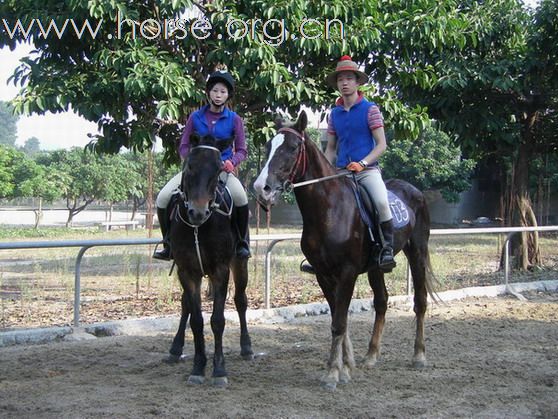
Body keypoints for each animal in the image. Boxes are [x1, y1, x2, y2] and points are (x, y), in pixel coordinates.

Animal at [166, 134, 254, 388]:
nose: (198, 212)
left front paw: (219, 370)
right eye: (190, 167)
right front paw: (198, 367)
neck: (200, 227)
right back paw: (175, 349)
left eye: (218, 170)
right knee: (186, 305)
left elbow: (217, 320)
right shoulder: (187, 271)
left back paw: (247, 348)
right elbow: (196, 319)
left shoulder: (220, 270)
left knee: (241, 300)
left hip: (239, 264)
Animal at [255, 110, 438, 390]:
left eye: (293, 147)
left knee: (420, 301)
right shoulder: (323, 274)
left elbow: (339, 322)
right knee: (382, 302)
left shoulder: (347, 272)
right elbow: (337, 318)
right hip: (376, 267)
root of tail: (414, 190)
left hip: (417, 252)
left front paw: (333, 373)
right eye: (268, 146)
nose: (261, 187)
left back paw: (419, 355)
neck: (329, 208)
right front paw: (346, 366)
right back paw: (371, 355)